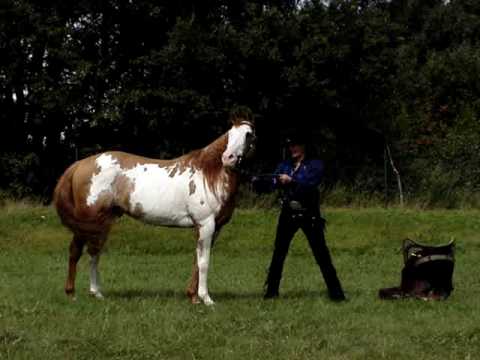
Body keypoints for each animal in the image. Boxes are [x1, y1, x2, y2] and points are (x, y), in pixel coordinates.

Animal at [52, 111, 255, 306]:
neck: (209, 174)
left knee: (94, 253)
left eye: (248, 134)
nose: (228, 158)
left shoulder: (214, 227)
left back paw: (97, 293)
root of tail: (80, 164)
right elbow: (204, 262)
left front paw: (193, 297)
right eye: (230, 134)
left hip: (102, 222)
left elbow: (198, 261)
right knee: (76, 252)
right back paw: (71, 294)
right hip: (86, 220)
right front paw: (206, 299)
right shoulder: (206, 224)